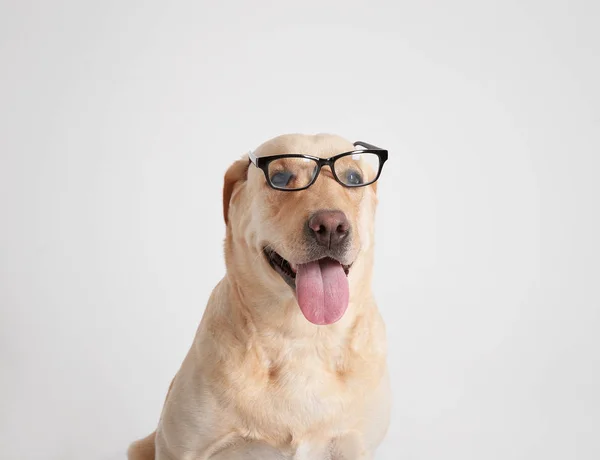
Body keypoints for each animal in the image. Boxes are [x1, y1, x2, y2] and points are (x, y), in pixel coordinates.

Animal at [127, 134, 390, 460]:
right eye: (280, 178)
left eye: (353, 177)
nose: (331, 226)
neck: (303, 338)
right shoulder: (180, 449)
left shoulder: (353, 445)